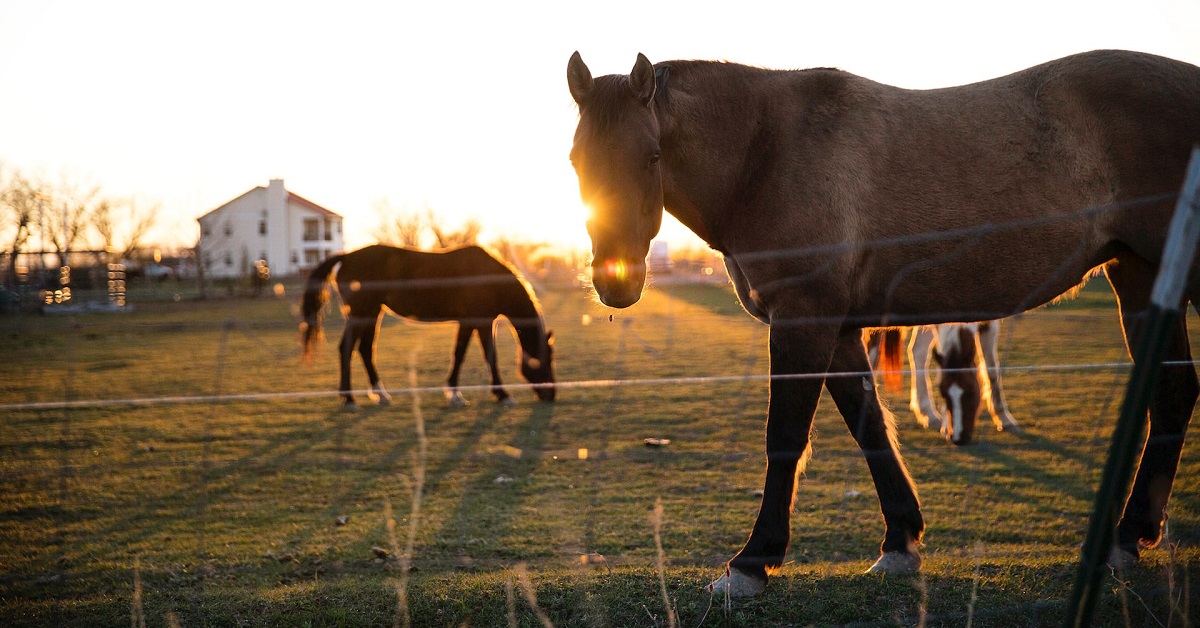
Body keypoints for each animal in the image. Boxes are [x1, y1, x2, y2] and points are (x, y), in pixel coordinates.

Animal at [304, 243, 556, 410]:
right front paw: (501, 395)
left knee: (365, 349)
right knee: (347, 349)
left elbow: (459, 354)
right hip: (360, 314)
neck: (488, 277)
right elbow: (487, 356)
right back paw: (349, 399)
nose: (551, 394)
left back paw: (380, 395)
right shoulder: (482, 323)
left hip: (372, 313)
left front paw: (455, 393)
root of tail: (346, 257)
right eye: (543, 361)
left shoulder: (469, 323)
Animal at [566, 51, 1200, 597]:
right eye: (576, 160)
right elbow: (869, 425)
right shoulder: (840, 330)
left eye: (651, 156)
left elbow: (786, 437)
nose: (616, 281)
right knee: (1173, 392)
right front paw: (900, 541)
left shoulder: (803, 319)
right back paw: (1128, 537)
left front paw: (752, 562)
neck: (765, 152)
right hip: (1138, 275)